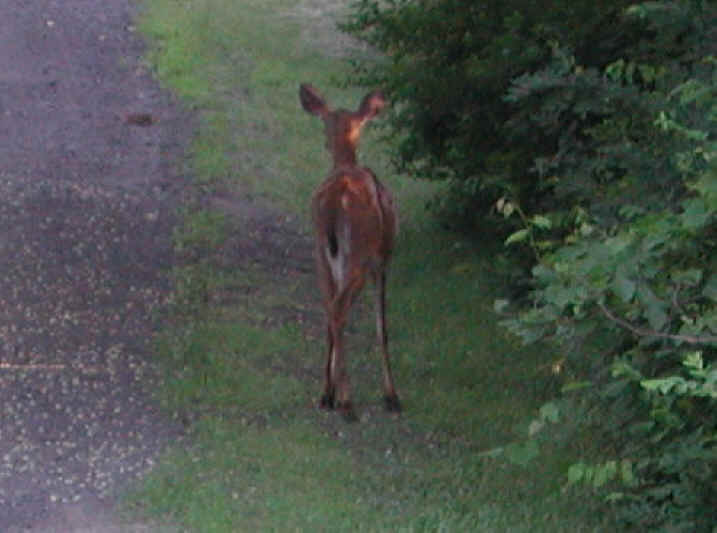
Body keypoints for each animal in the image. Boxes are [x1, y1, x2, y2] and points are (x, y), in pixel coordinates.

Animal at [299, 83, 400, 422]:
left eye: (326, 124)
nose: (324, 142)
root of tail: (337, 198)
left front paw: (328, 390)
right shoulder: (381, 260)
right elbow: (382, 326)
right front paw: (391, 396)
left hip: (320, 249)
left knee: (330, 309)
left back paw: (329, 394)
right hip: (357, 252)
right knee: (339, 308)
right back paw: (346, 402)